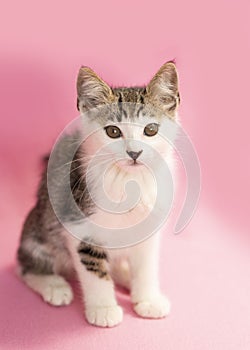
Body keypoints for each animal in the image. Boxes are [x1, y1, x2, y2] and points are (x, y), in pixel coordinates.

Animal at [17, 61, 180, 326]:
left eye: (151, 129)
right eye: (113, 131)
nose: (134, 153)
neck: (129, 181)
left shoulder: (150, 228)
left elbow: (146, 265)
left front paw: (147, 299)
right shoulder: (79, 225)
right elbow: (93, 270)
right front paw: (103, 308)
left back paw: (123, 275)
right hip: (39, 228)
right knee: (25, 265)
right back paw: (53, 285)